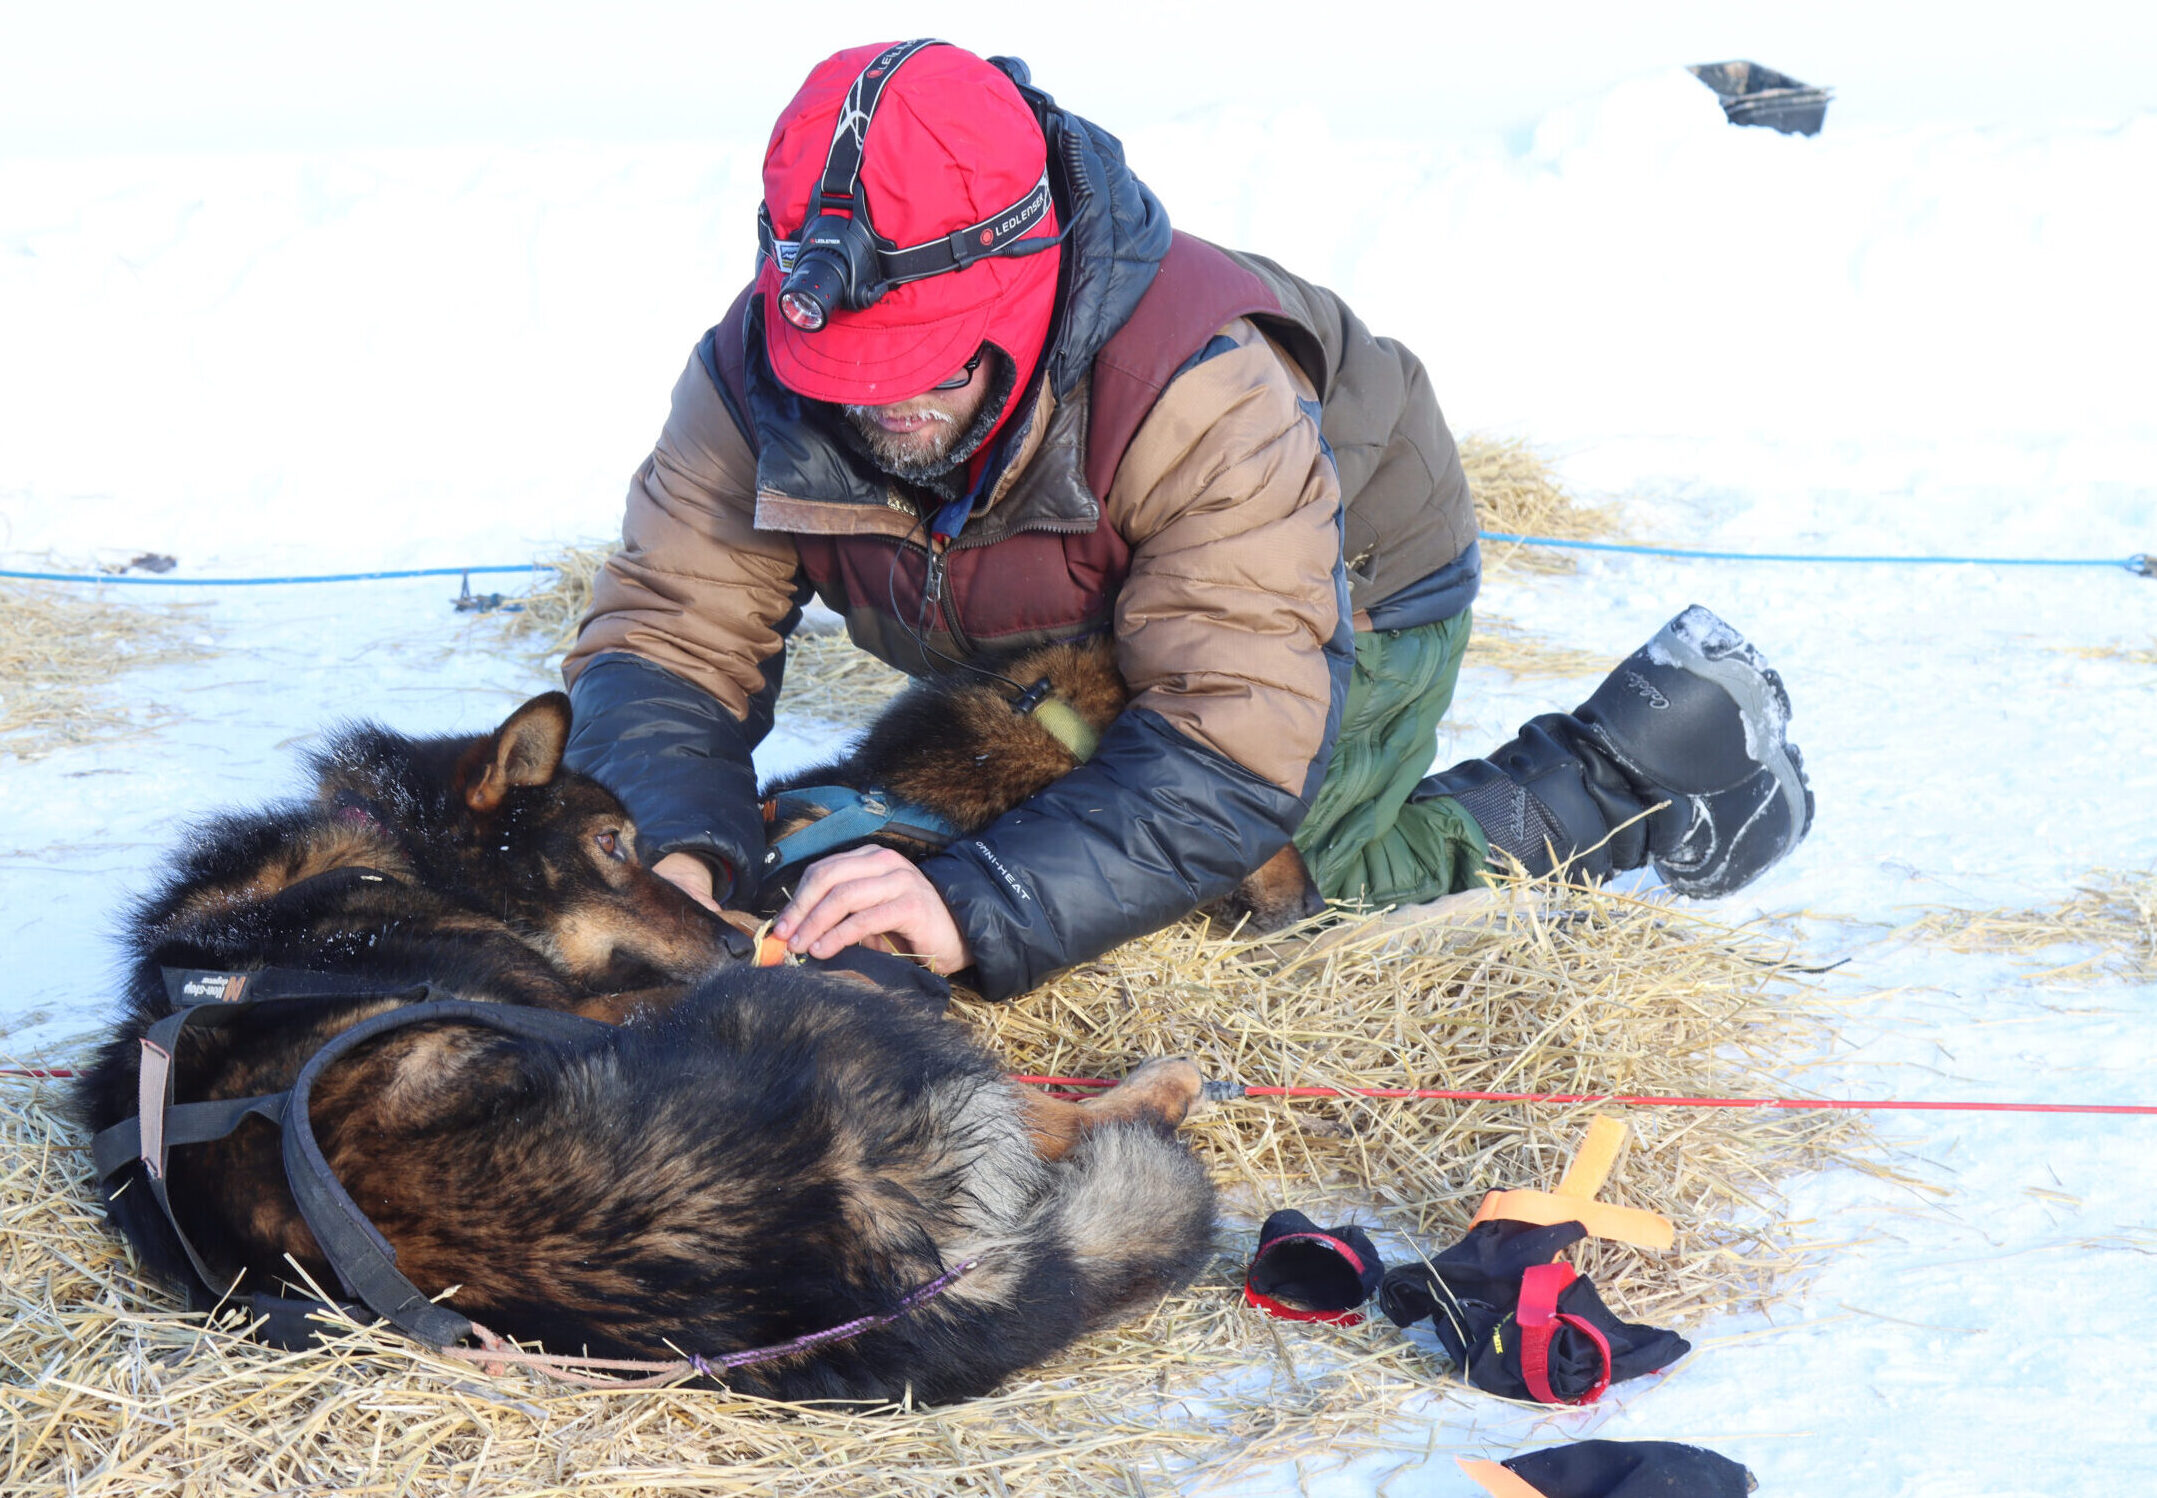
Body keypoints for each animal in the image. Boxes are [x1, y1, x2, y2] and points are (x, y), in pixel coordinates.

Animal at [71, 690, 1216, 1407]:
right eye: (613, 846)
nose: (736, 938)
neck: (393, 855)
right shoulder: (588, 992)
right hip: (780, 1010)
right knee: (1037, 1101)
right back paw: (1152, 1085)